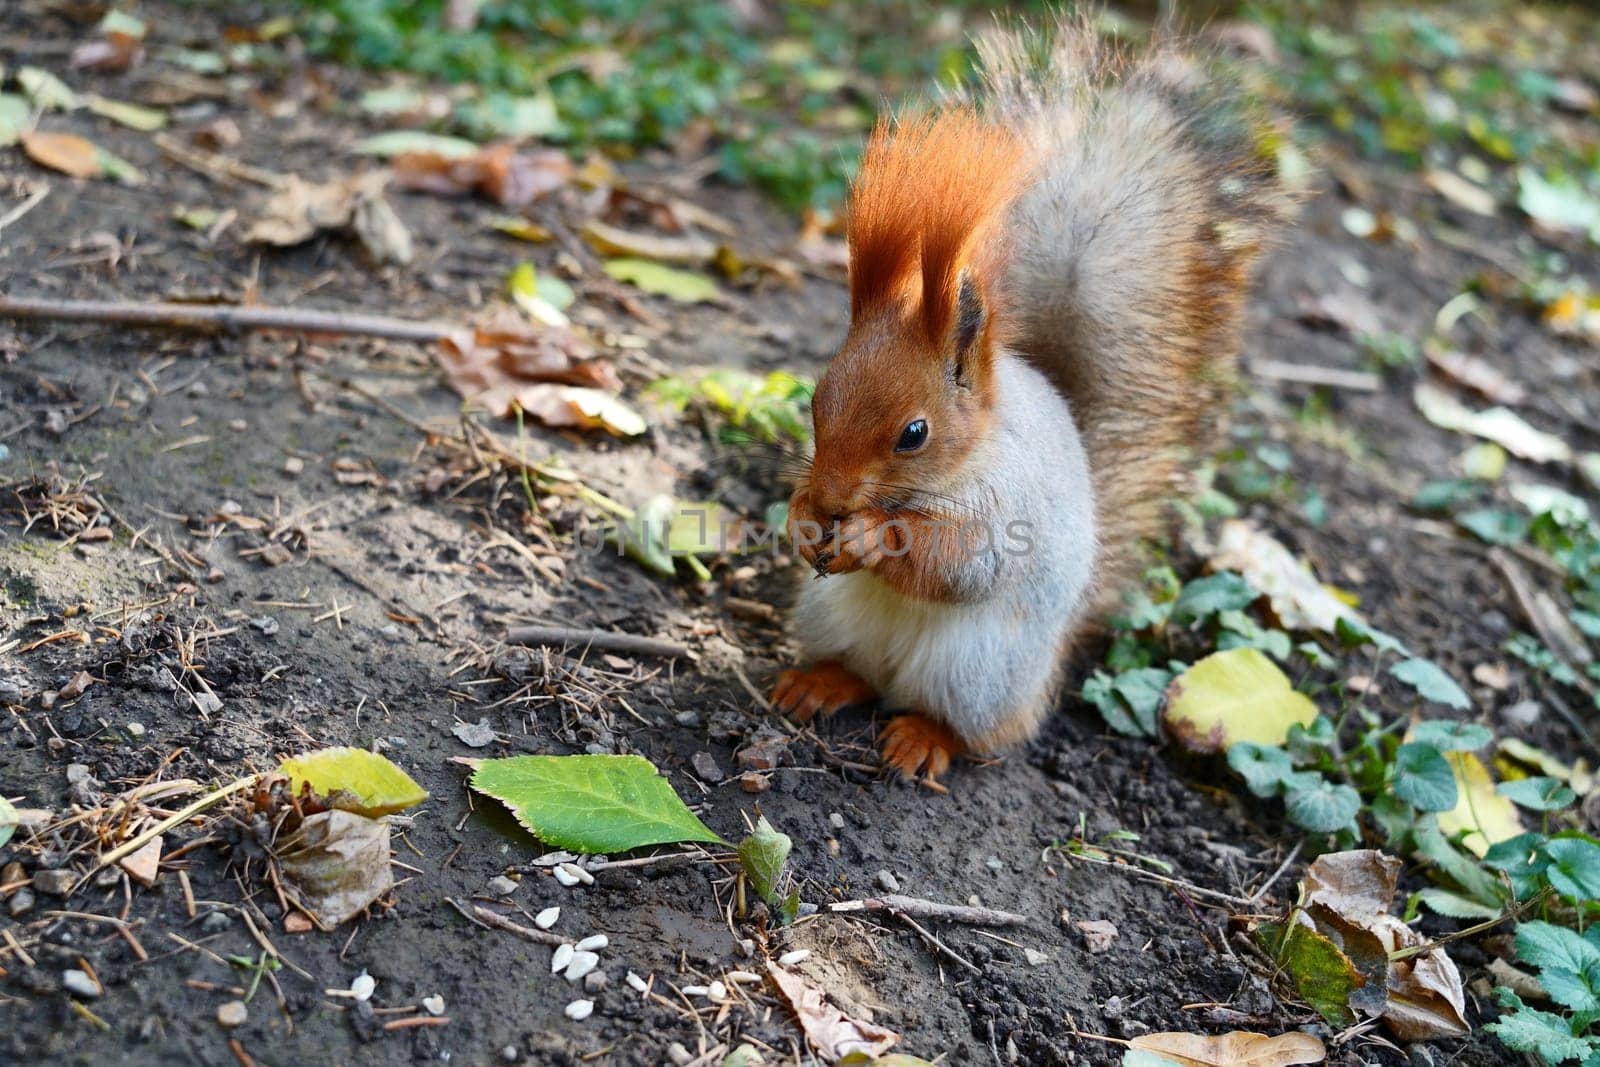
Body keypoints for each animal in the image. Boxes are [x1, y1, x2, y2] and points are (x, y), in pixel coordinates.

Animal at [768, 12, 1292, 790]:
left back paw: (924, 737)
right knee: (860, 674)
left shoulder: (1011, 504)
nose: (832, 498)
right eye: (816, 397)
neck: (967, 455)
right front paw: (801, 517)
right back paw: (819, 682)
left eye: (914, 433)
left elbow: (959, 562)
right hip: (829, 614)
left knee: (980, 728)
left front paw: (870, 535)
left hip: (983, 669)